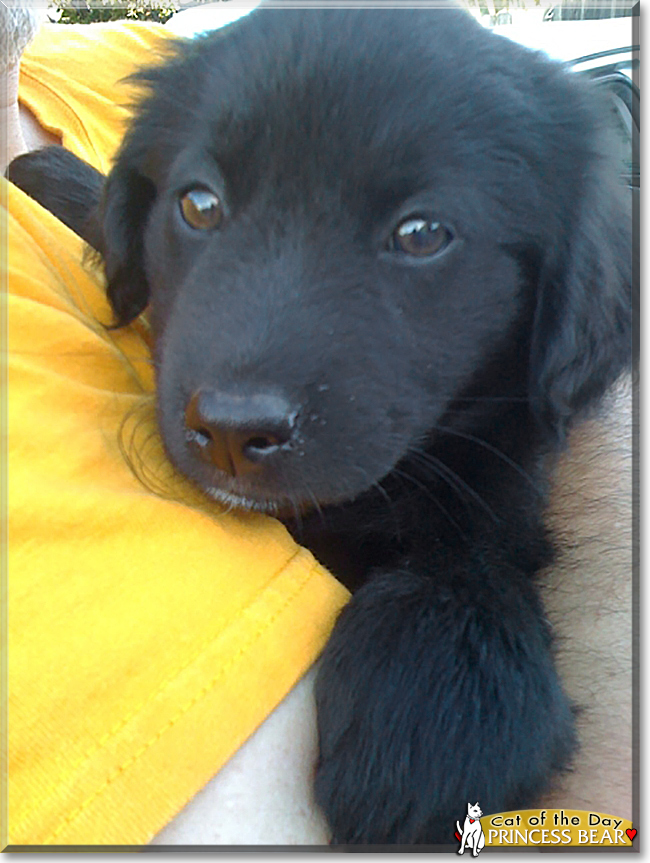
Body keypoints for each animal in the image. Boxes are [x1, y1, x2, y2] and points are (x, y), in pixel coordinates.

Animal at [7, 5, 632, 844]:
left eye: (423, 233)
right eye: (198, 204)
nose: (232, 431)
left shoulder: (502, 470)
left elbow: (471, 557)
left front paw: (428, 721)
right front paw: (48, 175)